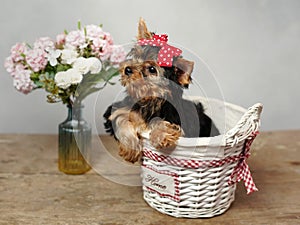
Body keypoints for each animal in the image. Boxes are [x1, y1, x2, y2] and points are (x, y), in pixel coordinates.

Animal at [102, 18, 218, 163]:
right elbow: (120, 119)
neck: (148, 99)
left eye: (152, 69)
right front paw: (131, 148)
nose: (127, 69)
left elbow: (160, 121)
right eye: (136, 56)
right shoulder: (116, 110)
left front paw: (161, 135)